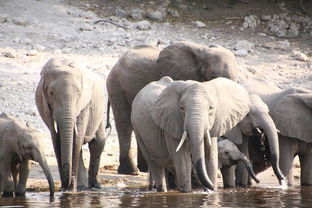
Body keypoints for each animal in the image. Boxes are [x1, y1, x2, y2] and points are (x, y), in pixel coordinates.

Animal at [35, 57, 106, 192]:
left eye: (78, 94)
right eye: (51, 93)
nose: (64, 186)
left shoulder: (84, 105)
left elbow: (77, 139)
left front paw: (70, 191)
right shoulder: (45, 106)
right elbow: (56, 138)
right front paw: (65, 190)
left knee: (98, 143)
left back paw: (94, 187)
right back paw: (82, 187)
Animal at [106, 41, 240, 175]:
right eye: (211, 75)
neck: (203, 50)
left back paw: (144, 169)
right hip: (117, 86)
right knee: (124, 124)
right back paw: (131, 171)